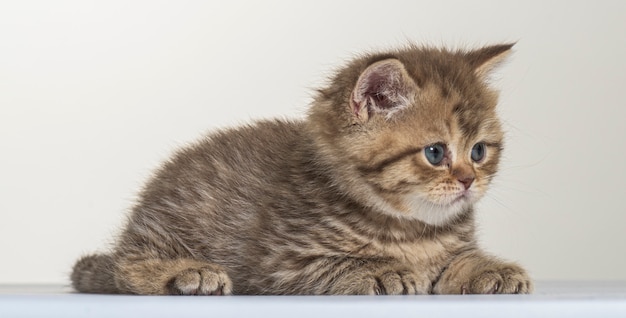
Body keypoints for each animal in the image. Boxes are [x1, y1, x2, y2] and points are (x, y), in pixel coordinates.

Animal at [72, 42, 532, 296]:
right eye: (435, 153)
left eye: (478, 151)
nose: (469, 181)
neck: (411, 228)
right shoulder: (281, 262)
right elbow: (339, 263)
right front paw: (382, 269)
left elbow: (457, 261)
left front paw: (492, 269)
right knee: (125, 268)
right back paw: (188, 272)